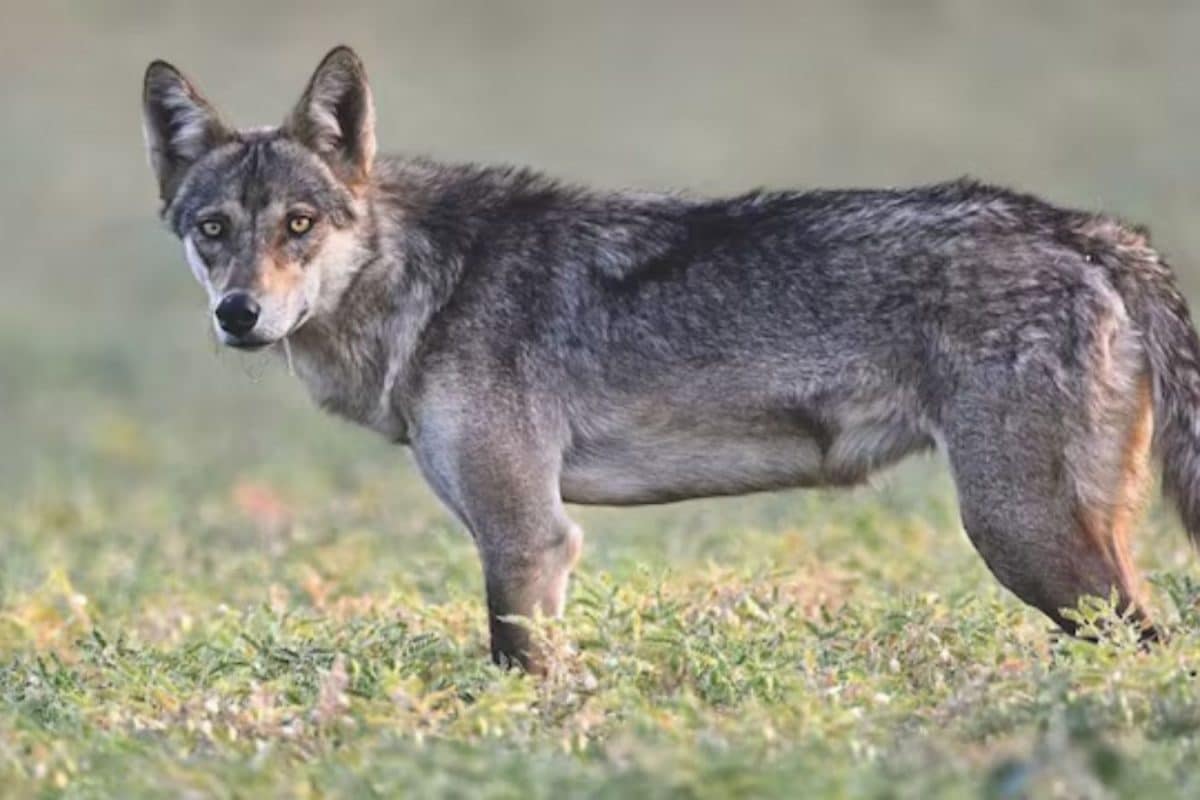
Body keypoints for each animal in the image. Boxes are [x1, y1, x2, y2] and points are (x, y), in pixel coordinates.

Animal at [143, 46, 1200, 671]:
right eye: (212, 229)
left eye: (300, 225)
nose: (239, 314)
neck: (431, 285)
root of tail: (1089, 230)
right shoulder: (522, 538)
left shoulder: (528, 539)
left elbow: (517, 680)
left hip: (1023, 539)